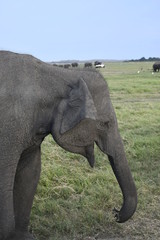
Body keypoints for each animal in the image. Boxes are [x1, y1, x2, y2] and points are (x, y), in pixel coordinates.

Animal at [0, 51, 138, 240]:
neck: (61, 75)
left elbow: (30, 172)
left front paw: (23, 236)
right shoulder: (9, 126)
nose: (115, 212)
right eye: (105, 123)